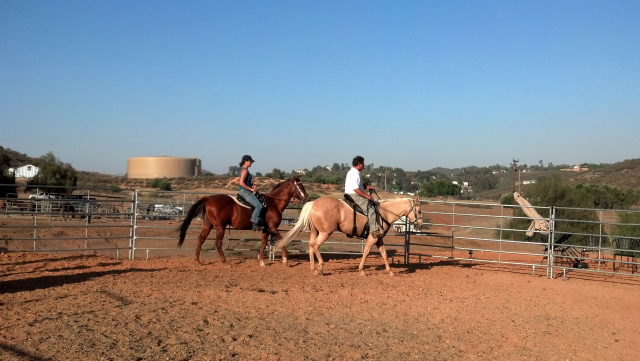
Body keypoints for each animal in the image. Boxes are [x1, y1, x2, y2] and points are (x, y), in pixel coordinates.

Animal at [178, 176, 310, 264]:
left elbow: (263, 243)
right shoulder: (273, 228)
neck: (274, 203)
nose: (308, 198)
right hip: (220, 227)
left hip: (208, 226)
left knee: (200, 239)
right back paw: (225, 262)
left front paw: (261, 261)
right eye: (301, 186)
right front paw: (285, 259)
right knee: (218, 243)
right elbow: (282, 240)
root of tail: (208, 199)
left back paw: (197, 260)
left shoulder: (266, 229)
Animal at [274, 195, 420, 274]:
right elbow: (366, 252)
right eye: (418, 210)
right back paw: (320, 267)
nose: (419, 224)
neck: (383, 213)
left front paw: (390, 272)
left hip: (315, 231)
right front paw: (362, 270)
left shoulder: (379, 239)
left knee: (310, 246)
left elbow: (384, 254)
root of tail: (314, 203)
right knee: (315, 246)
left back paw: (313, 268)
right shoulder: (372, 238)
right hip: (325, 232)